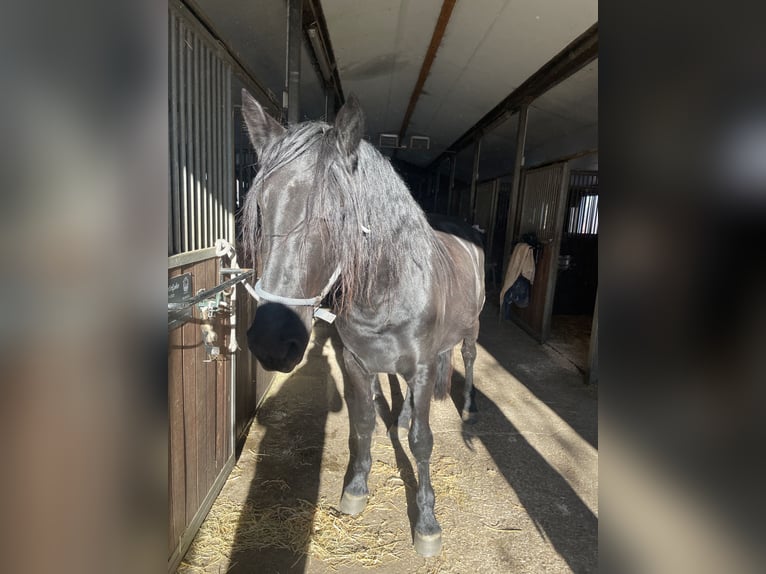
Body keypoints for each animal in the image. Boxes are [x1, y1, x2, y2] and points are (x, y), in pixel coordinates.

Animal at [240, 91, 486, 560]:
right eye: (260, 207)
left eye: (336, 215)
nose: (271, 342)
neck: (386, 295)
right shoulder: (356, 363)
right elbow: (365, 423)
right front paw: (356, 488)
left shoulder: (422, 367)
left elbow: (422, 442)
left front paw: (427, 524)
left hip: (472, 329)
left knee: (466, 358)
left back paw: (467, 408)